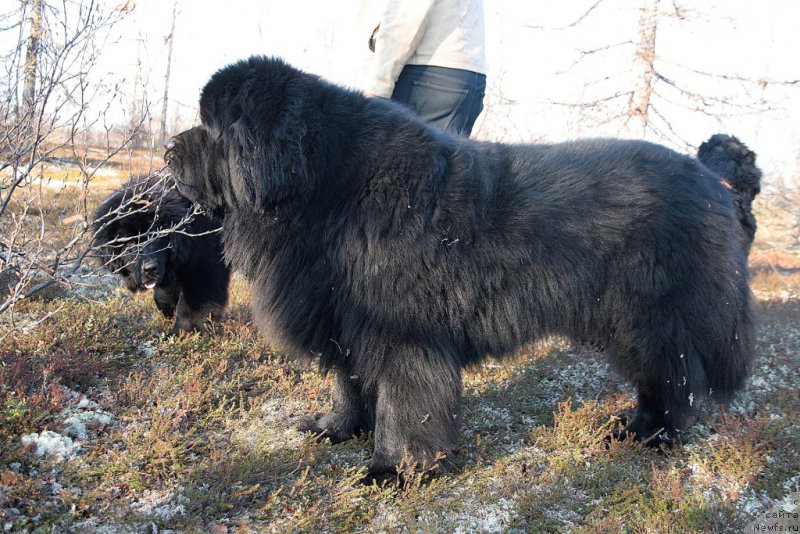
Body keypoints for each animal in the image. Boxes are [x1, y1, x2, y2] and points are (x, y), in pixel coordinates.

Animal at [94, 176, 233, 336]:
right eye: (130, 244)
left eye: (156, 236)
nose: (150, 269)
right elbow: (163, 295)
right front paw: (168, 310)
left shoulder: (204, 267)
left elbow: (191, 304)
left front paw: (181, 332)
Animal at [166, 56, 752, 480]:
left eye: (208, 128)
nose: (170, 148)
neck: (325, 190)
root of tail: (708, 180)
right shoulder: (346, 322)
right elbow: (348, 384)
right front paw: (337, 429)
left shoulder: (403, 334)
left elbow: (405, 405)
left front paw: (396, 471)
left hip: (647, 320)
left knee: (671, 381)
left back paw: (647, 436)